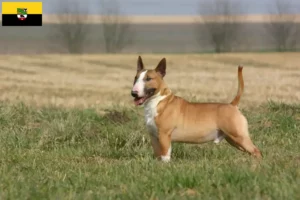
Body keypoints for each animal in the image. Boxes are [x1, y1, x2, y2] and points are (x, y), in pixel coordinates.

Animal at [130, 55, 262, 162]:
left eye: (148, 79)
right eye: (135, 78)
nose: (133, 93)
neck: (158, 101)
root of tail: (232, 105)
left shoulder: (164, 135)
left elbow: (165, 156)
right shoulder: (154, 137)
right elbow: (158, 156)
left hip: (239, 136)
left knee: (256, 151)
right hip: (233, 140)